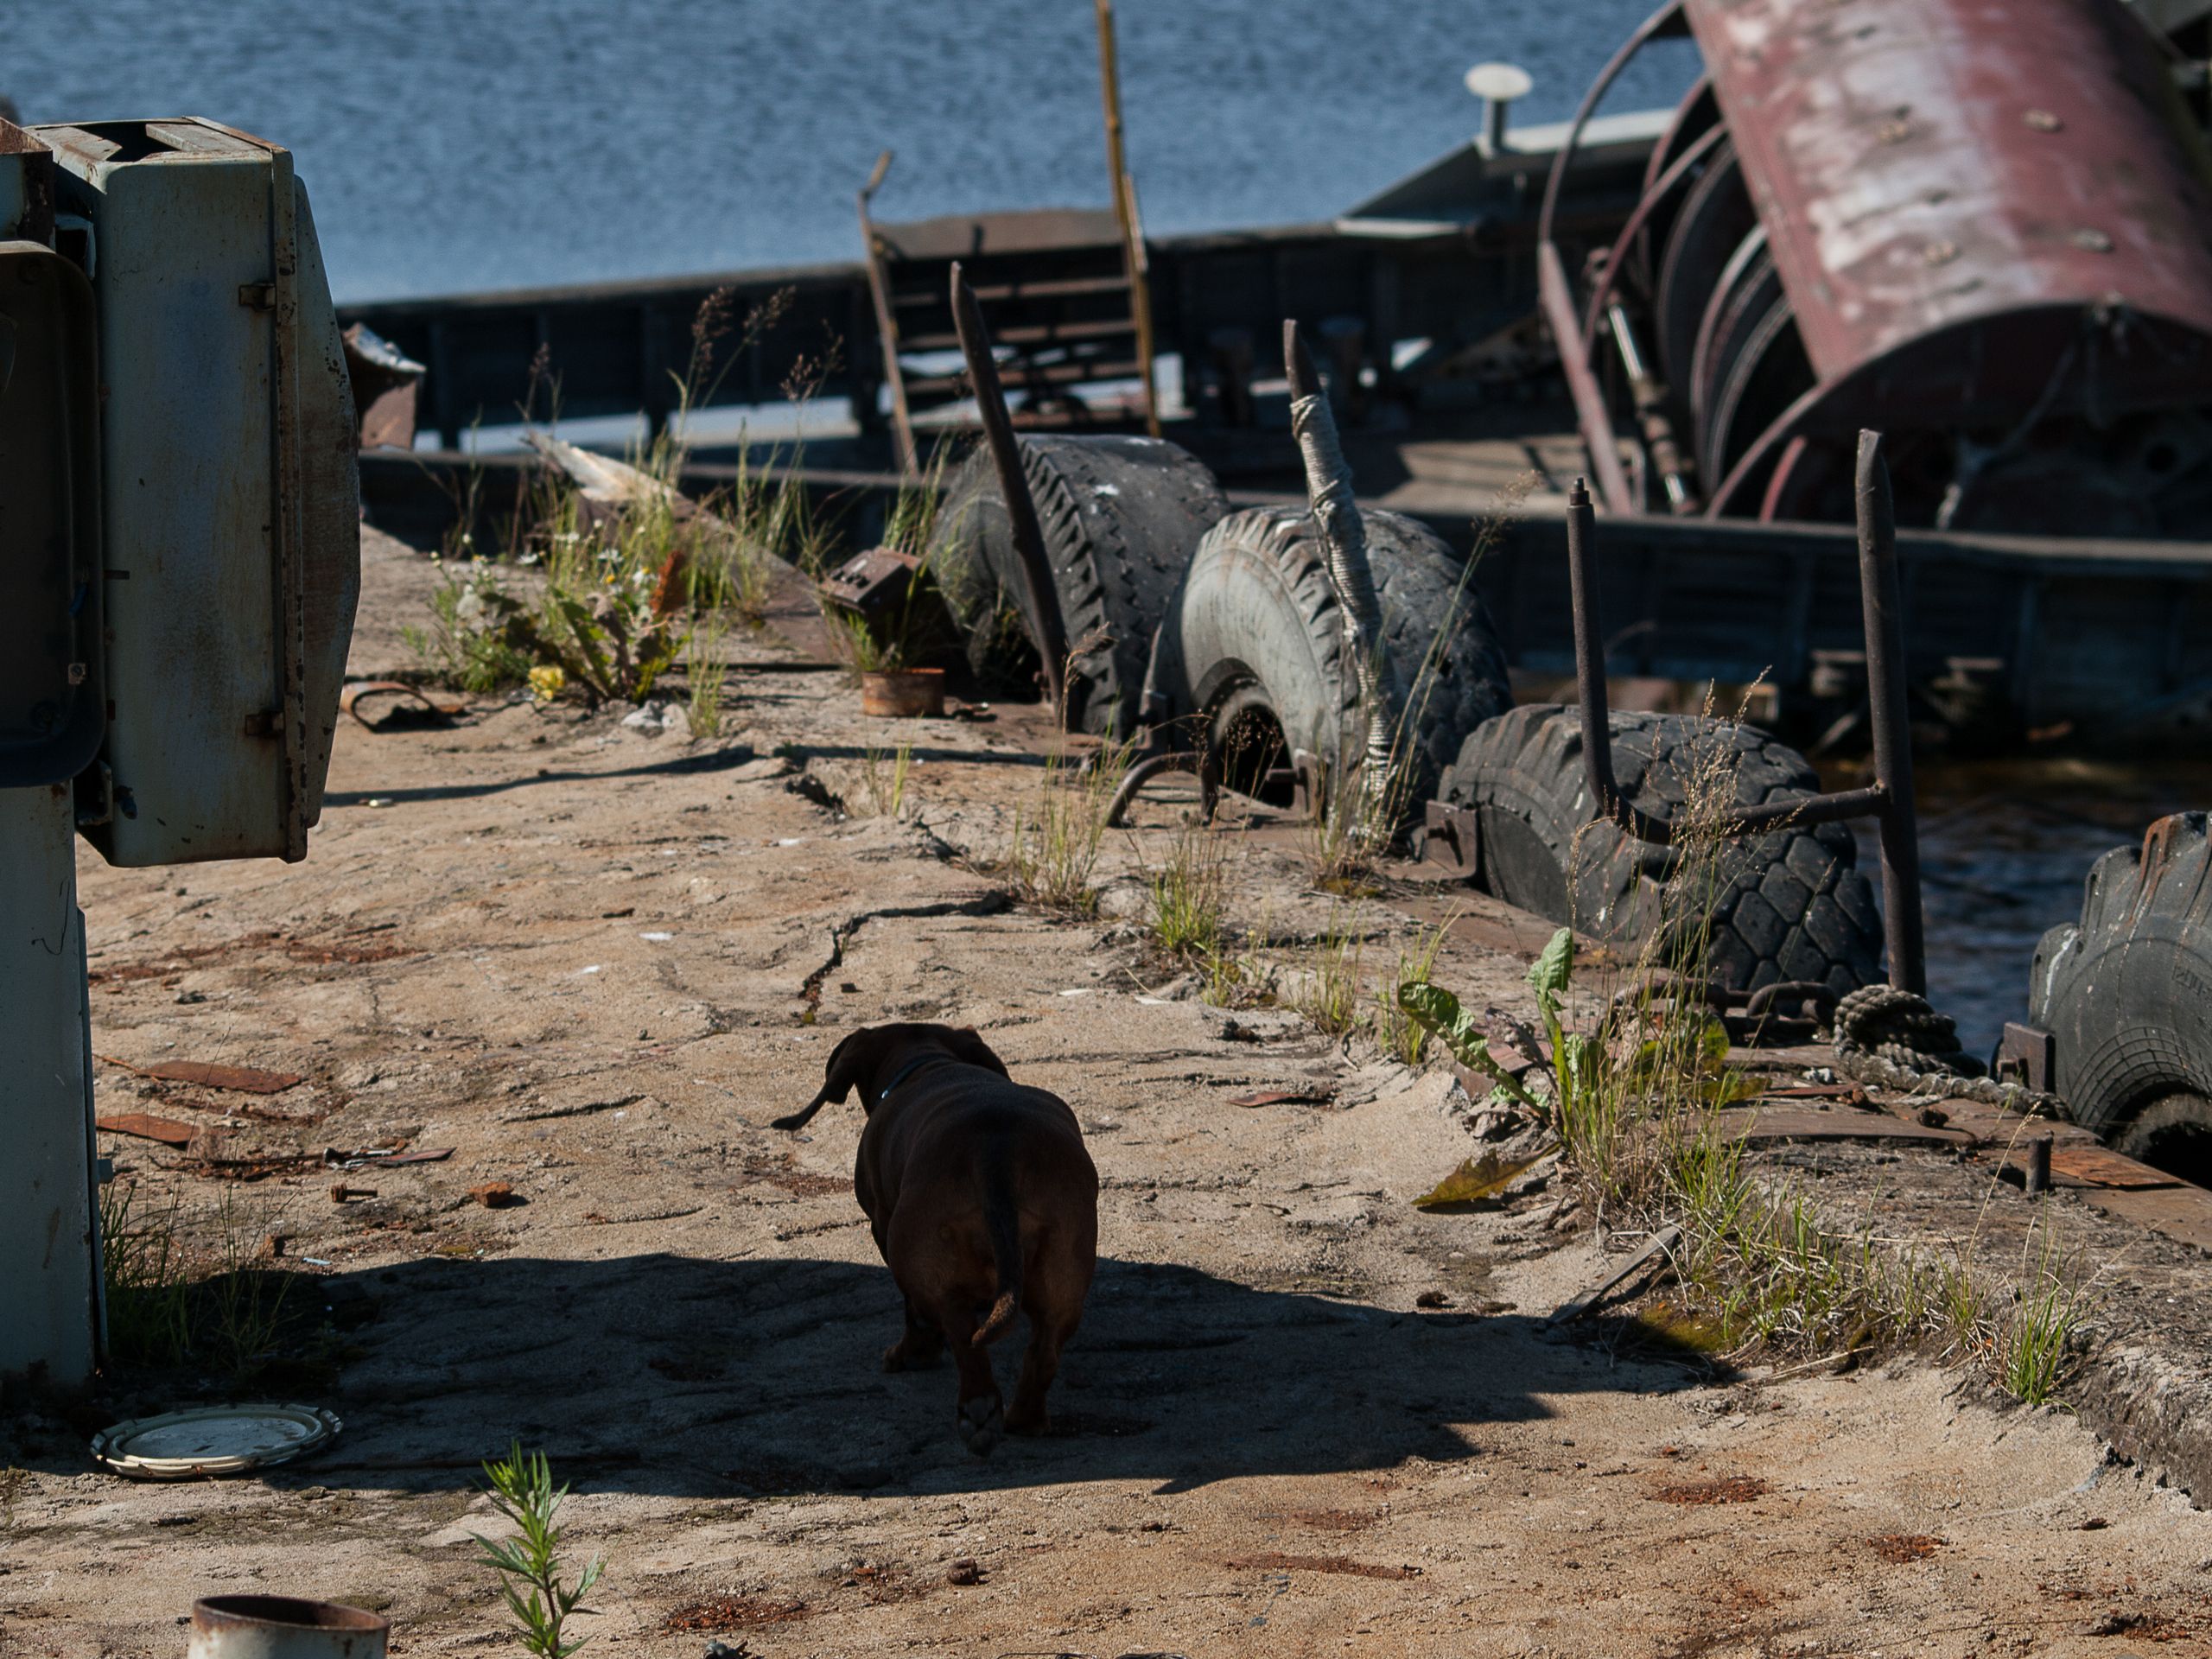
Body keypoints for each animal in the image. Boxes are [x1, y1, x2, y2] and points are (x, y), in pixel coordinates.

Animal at [774, 1021, 1101, 1459]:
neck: (928, 1062)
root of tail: (996, 1150)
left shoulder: (883, 1226)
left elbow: (915, 1315)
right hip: (1065, 1273)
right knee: (1044, 1351)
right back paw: (1024, 1419)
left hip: (921, 1261)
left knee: (959, 1336)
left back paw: (972, 1408)